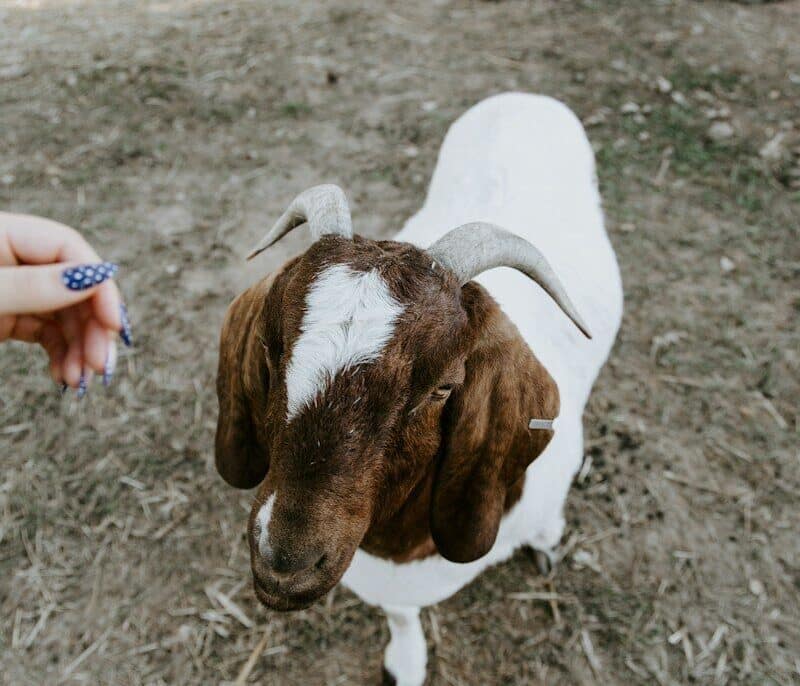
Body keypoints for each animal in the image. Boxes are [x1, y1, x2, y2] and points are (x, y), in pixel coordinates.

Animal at [215, 92, 623, 685]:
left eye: (443, 387)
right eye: (270, 345)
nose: (284, 564)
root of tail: (524, 97)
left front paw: (547, 541)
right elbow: (402, 616)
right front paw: (405, 664)